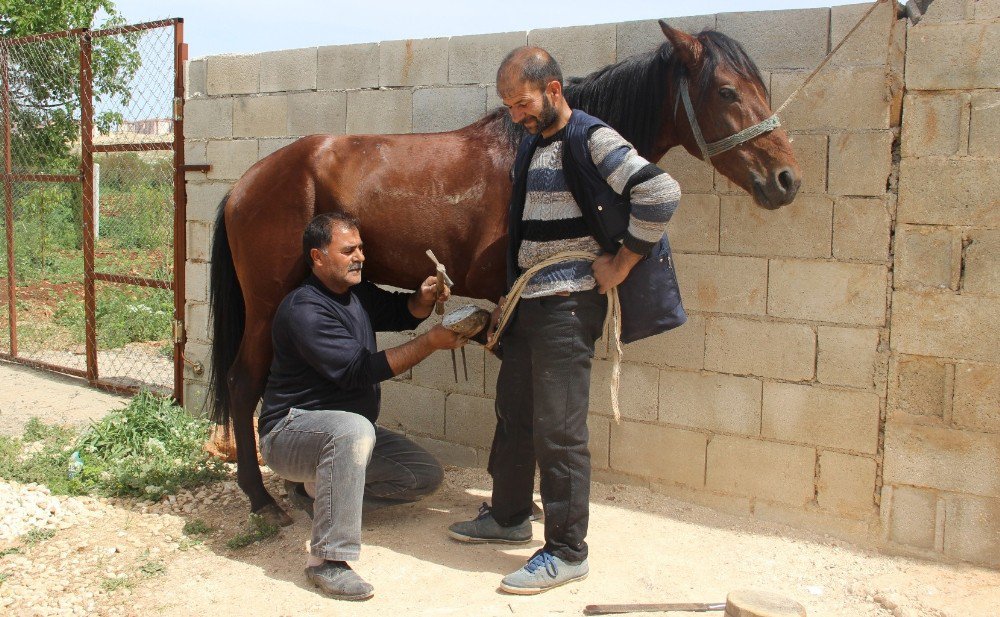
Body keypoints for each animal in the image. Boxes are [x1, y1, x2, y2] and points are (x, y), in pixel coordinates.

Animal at [207, 24, 800, 524]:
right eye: (726, 91)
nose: (786, 179)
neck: (535, 152)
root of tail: (243, 185)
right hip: (266, 304)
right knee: (244, 382)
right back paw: (261, 498)